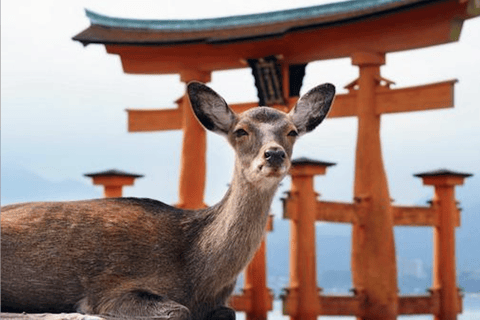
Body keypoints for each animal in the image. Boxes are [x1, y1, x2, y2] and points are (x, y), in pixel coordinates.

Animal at [1, 81, 336, 318]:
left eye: (291, 132)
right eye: (241, 131)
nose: (274, 154)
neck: (199, 274)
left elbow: (227, 313)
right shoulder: (108, 288)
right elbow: (178, 310)